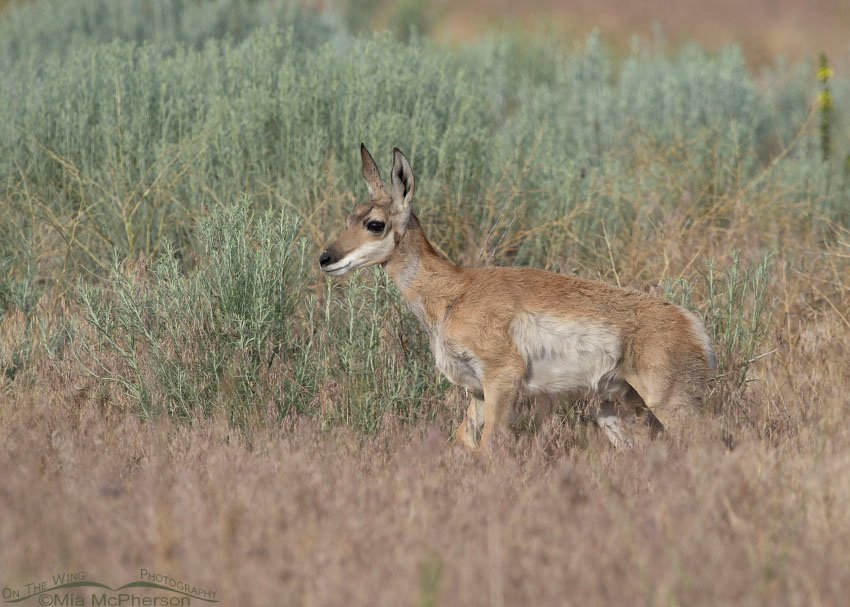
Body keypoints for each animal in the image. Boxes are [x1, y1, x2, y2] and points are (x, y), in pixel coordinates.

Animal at [319, 144, 717, 451]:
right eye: (350, 216)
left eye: (374, 224)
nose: (325, 259)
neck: (455, 291)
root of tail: (690, 324)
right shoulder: (478, 393)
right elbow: (462, 440)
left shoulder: (502, 379)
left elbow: (489, 448)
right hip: (613, 411)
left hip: (671, 405)